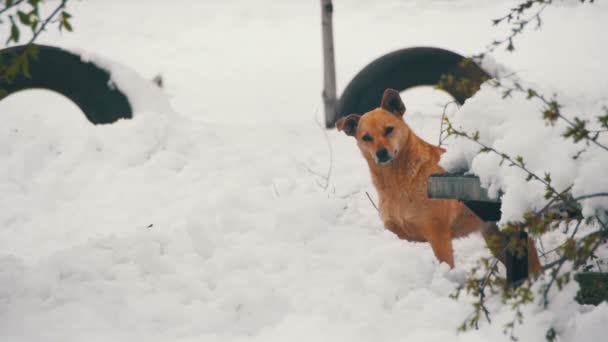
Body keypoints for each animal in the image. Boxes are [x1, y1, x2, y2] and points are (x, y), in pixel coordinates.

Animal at [338, 89, 540, 272]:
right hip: (495, 238)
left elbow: (446, 265)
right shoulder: (399, 235)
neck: (399, 182)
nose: (381, 153)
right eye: (366, 137)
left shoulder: (438, 234)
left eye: (388, 130)